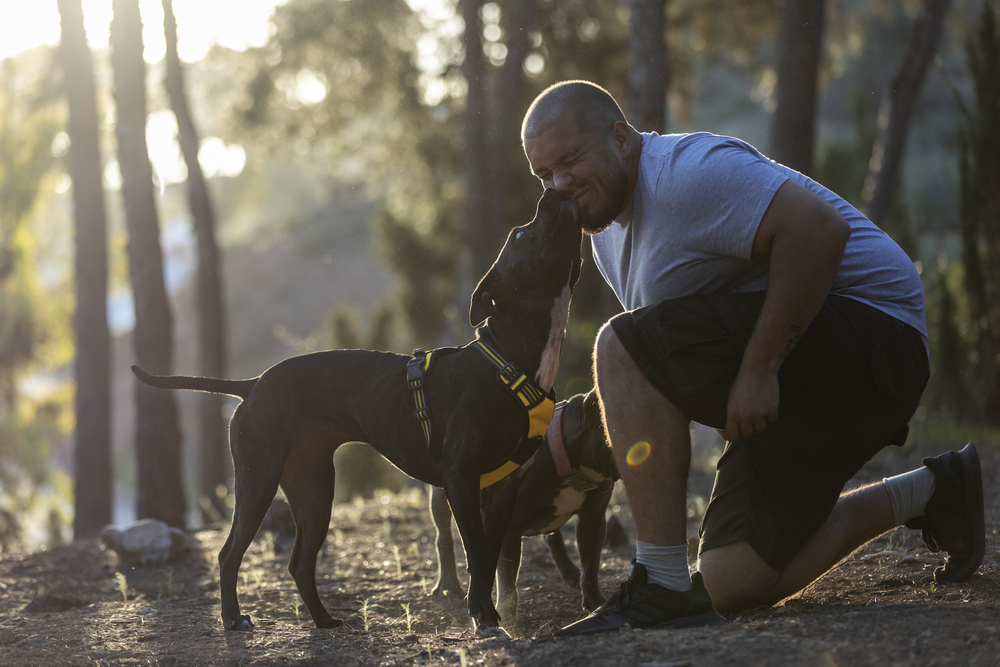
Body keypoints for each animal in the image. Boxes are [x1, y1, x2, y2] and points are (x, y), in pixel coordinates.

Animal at [137, 190, 584, 636]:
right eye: (521, 233)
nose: (552, 192)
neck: (508, 359)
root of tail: (254, 383)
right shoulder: (460, 477)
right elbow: (475, 553)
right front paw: (484, 617)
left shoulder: (505, 489)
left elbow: (489, 558)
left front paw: (490, 615)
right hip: (258, 480)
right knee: (229, 553)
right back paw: (233, 618)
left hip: (314, 490)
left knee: (299, 563)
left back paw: (322, 619)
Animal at [430, 388, 616, 628]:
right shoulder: (508, 529)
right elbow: (508, 582)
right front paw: (508, 619)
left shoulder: (592, 519)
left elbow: (591, 566)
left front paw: (596, 605)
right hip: (443, 497)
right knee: (443, 536)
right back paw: (448, 585)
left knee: (553, 537)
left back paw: (570, 572)